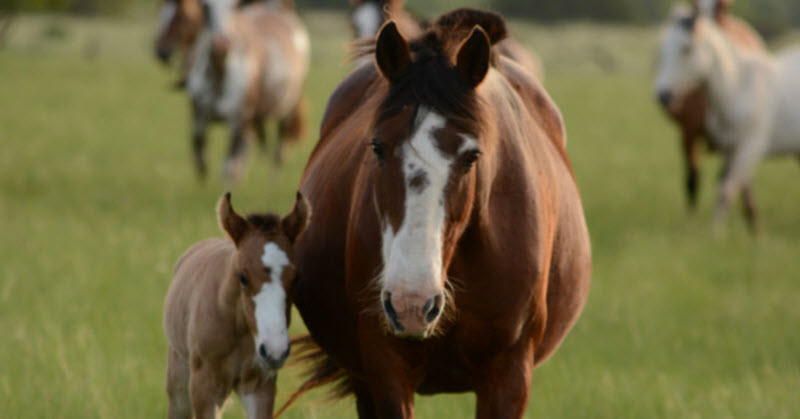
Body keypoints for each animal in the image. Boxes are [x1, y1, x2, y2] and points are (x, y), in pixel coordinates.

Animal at [166, 192, 310, 418]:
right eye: (243, 277)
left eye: (296, 278)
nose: (275, 350)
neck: (238, 328)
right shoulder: (203, 387)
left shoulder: (261, 385)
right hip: (179, 380)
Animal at [188, 0, 310, 180]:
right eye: (205, 8)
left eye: (234, 7)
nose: (221, 45)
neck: (219, 77)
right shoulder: (198, 118)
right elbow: (202, 163)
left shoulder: (239, 122)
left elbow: (228, 168)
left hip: (287, 110)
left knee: (278, 153)